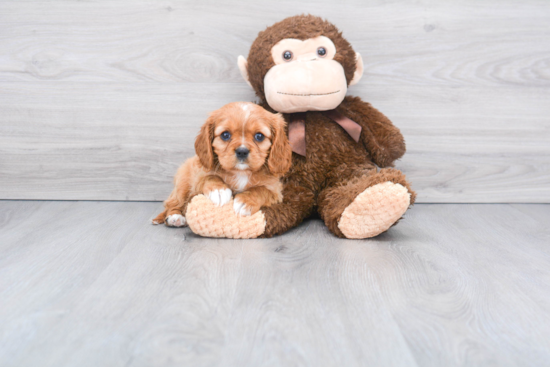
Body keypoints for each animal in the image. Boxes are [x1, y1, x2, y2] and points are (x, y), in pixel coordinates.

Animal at [152, 101, 294, 227]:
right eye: (225, 135)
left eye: (259, 136)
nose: (242, 151)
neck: (241, 173)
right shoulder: (199, 177)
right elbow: (210, 177)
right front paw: (219, 191)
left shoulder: (274, 190)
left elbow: (260, 190)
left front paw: (245, 201)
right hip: (183, 184)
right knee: (172, 203)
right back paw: (175, 217)